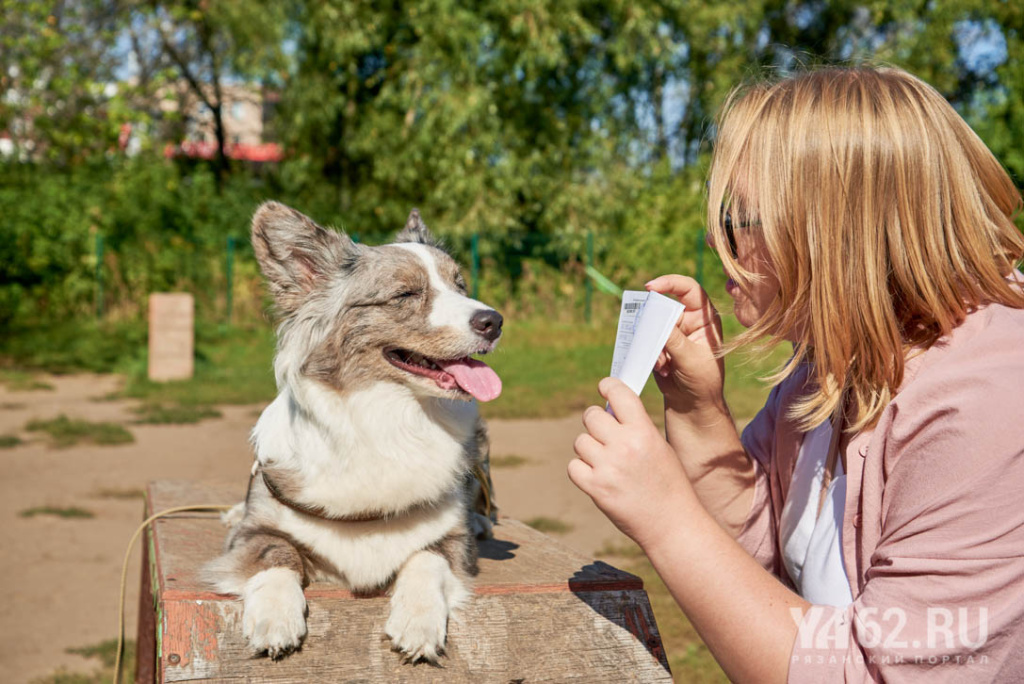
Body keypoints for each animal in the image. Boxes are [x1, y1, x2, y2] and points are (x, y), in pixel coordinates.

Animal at [201, 201, 501, 663]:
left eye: (461, 285)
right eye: (406, 294)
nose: (495, 321)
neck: (390, 416)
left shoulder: (451, 541)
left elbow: (427, 559)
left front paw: (418, 620)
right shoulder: (253, 536)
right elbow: (276, 553)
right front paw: (275, 616)